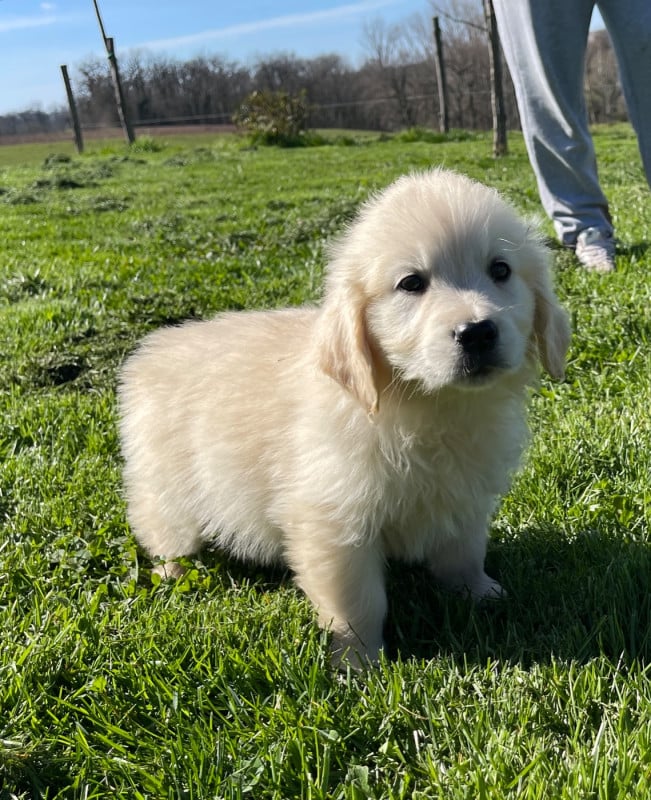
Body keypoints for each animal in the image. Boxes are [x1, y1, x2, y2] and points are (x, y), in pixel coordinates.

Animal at [118, 168, 570, 666]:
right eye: (411, 283)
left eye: (501, 270)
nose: (477, 332)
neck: (428, 406)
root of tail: (151, 351)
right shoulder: (335, 522)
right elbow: (359, 603)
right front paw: (360, 663)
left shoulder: (464, 495)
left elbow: (464, 552)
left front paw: (480, 592)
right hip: (166, 484)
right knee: (159, 526)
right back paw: (173, 572)